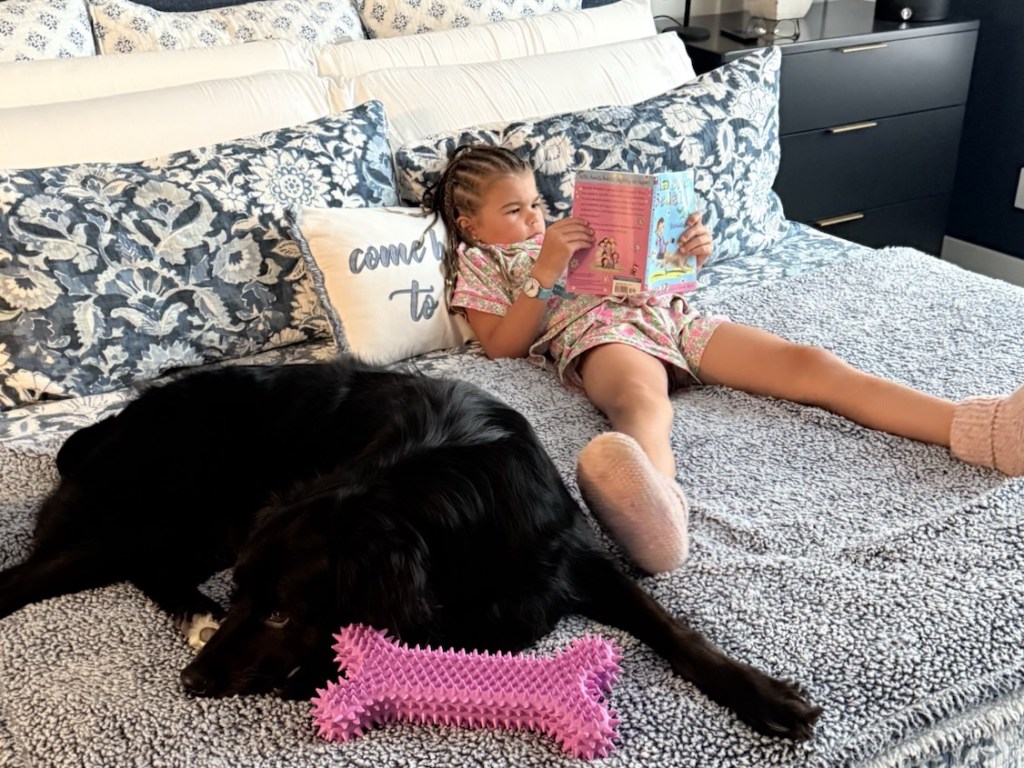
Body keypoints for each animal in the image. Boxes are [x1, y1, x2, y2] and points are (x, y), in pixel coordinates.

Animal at [0, 357, 820, 740]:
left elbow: (671, 627)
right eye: (247, 598)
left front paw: (763, 694)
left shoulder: (572, 556)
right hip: (156, 519)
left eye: (279, 613)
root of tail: (108, 425)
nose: (191, 683)